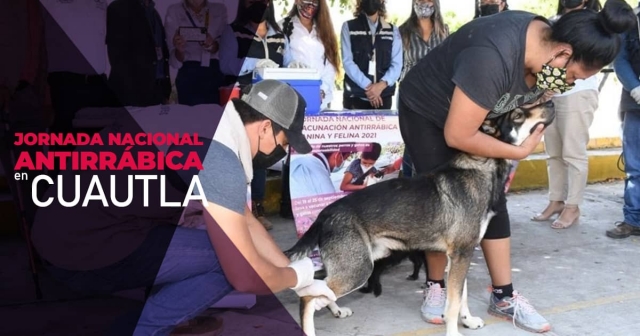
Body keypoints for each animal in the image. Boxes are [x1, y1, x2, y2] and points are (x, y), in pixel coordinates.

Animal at [284, 100, 556, 336]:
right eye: (518, 114)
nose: (551, 102)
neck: (482, 167)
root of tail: (326, 213)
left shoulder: (462, 255)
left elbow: (462, 296)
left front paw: (468, 321)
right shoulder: (461, 254)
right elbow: (452, 304)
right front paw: (454, 331)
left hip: (355, 264)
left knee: (320, 288)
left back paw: (337, 310)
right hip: (358, 269)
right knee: (307, 297)